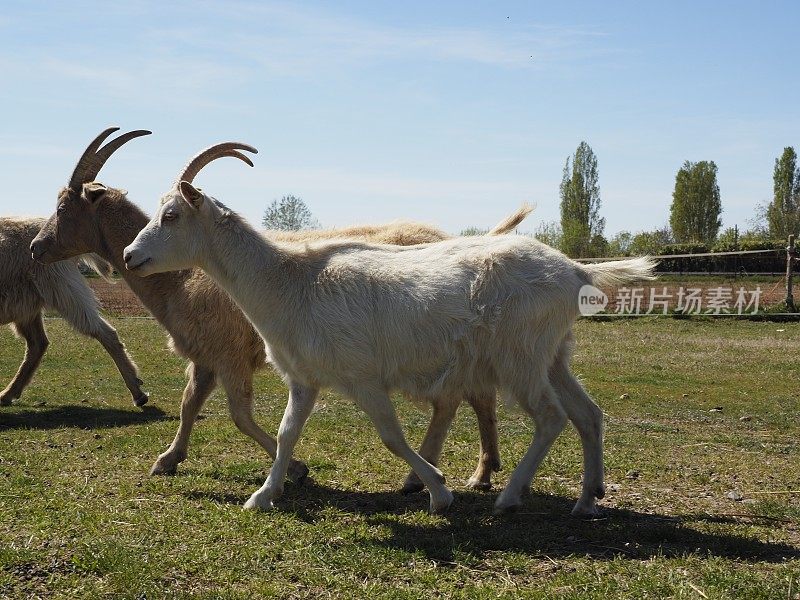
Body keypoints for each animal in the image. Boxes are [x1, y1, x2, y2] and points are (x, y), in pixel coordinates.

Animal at [0, 217, 146, 408]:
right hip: (27, 304)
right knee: (38, 343)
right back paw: (8, 393)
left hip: (63, 289)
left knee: (104, 332)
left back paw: (137, 391)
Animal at [120, 144, 656, 516]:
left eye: (171, 215)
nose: (129, 255)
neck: (291, 280)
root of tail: (574, 270)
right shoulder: (305, 378)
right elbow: (288, 431)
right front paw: (264, 495)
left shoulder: (363, 378)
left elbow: (391, 436)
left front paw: (438, 491)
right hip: (554, 353)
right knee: (588, 413)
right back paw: (586, 499)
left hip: (519, 358)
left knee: (550, 417)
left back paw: (508, 496)